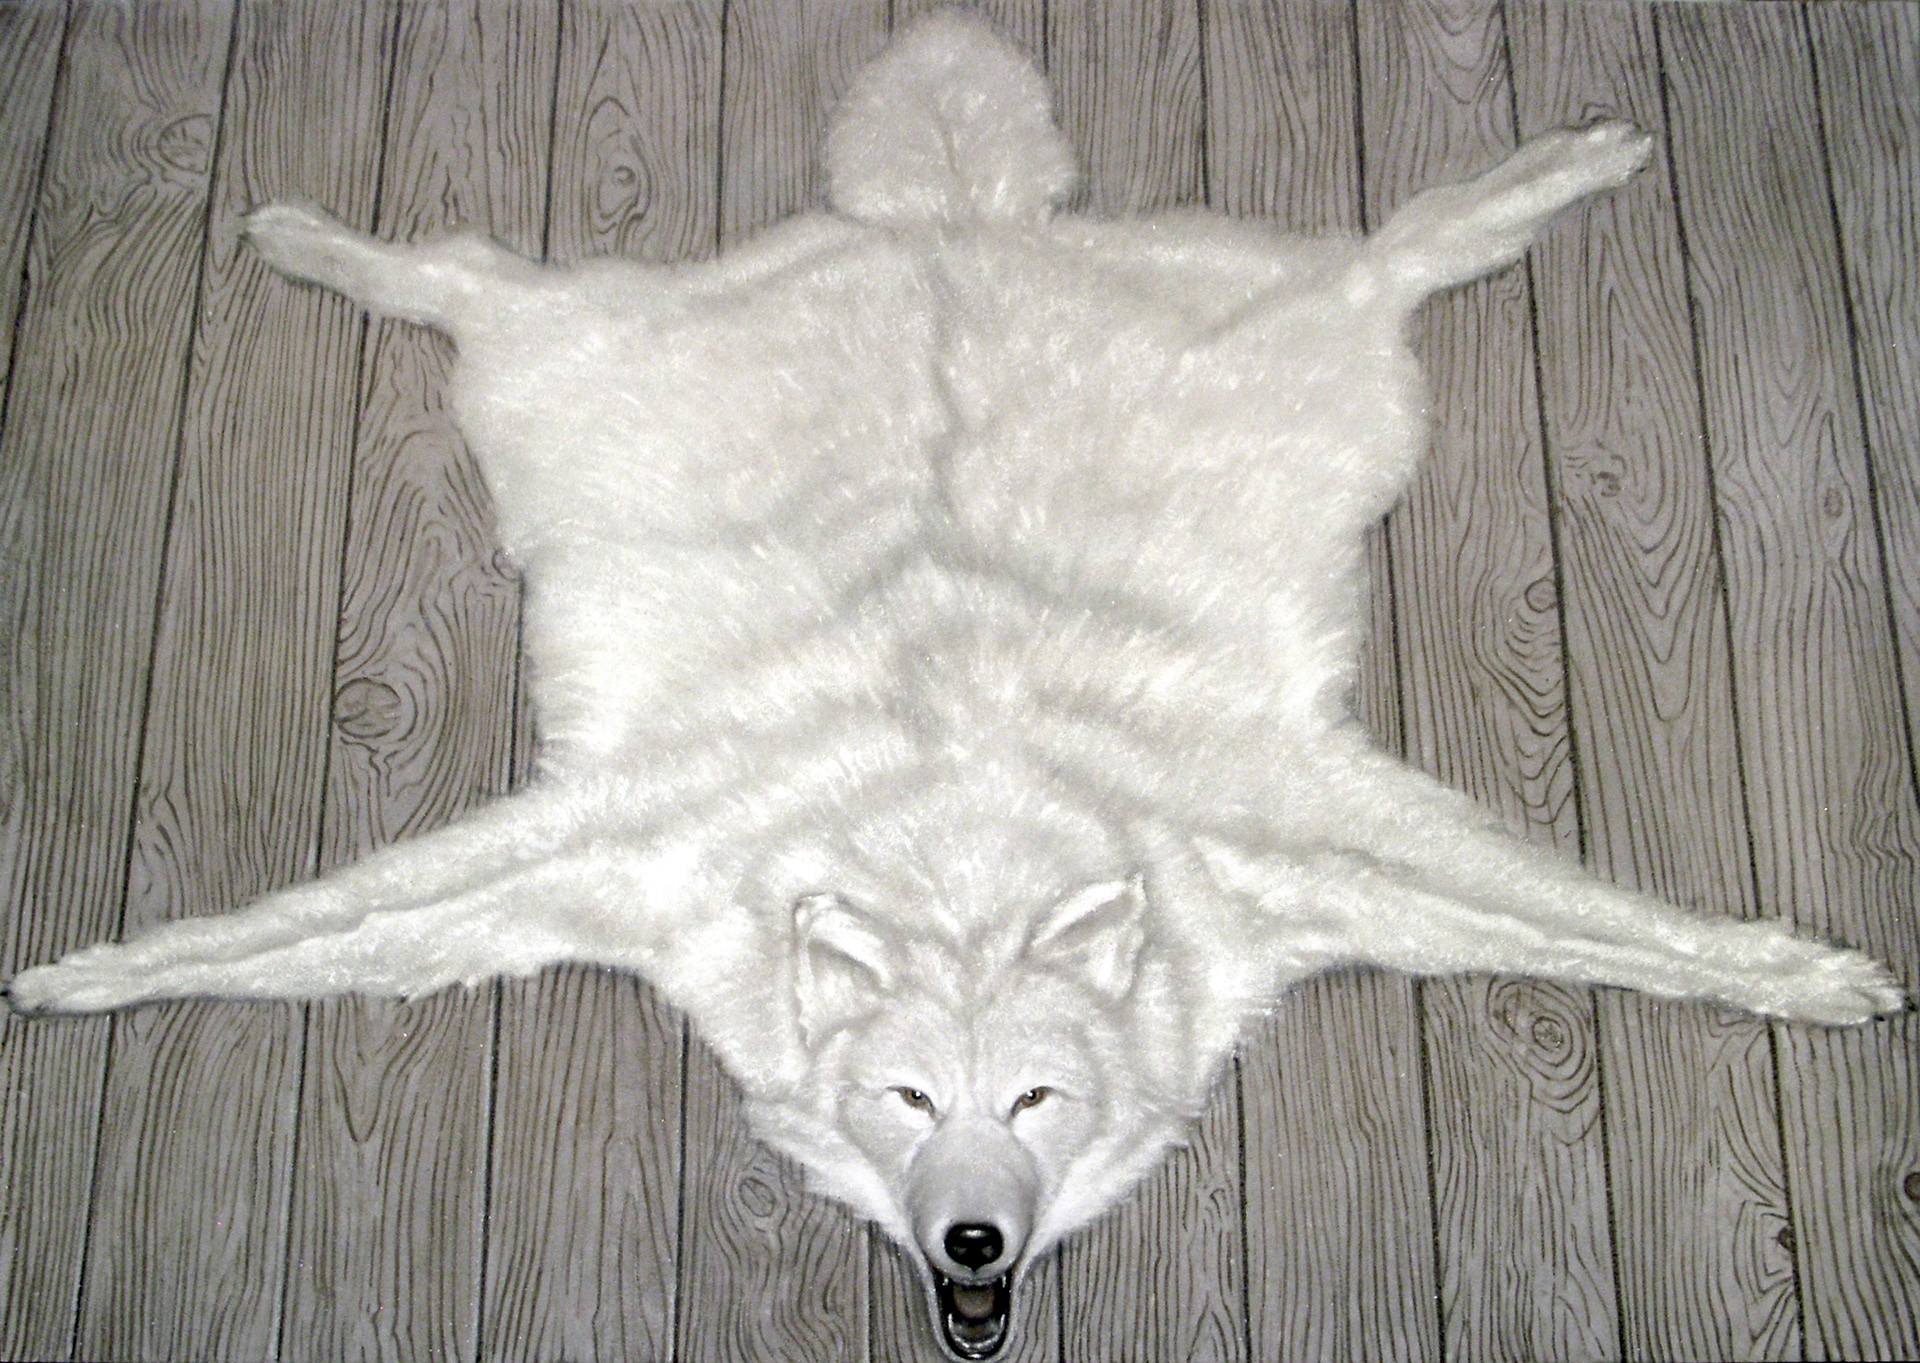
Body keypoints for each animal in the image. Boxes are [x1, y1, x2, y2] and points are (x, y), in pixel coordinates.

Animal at [7, 13, 1903, 1360]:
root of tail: (947, 229)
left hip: (1318, 360)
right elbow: (324, 927)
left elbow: (1604, 924)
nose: (973, 1240)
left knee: (1389, 246)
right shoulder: (636, 849)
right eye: (910, 1096)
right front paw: (97, 973)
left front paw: (1797, 972)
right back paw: (320, 238)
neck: (966, 842)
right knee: (471, 275)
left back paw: (1545, 176)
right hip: (567, 370)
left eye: (1035, 1099)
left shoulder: (1287, 840)